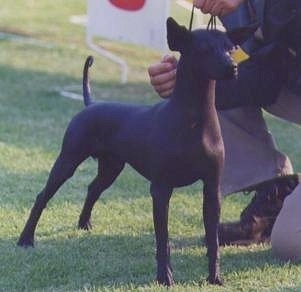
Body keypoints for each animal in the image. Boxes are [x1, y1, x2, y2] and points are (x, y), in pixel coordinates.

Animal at [17, 17, 245, 286]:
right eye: (204, 49)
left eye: (230, 49)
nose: (232, 68)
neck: (193, 120)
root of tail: (91, 104)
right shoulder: (160, 190)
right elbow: (163, 240)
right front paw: (165, 278)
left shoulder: (211, 189)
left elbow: (213, 240)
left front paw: (215, 277)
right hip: (68, 161)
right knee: (43, 196)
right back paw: (26, 239)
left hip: (111, 167)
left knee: (93, 188)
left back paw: (84, 223)